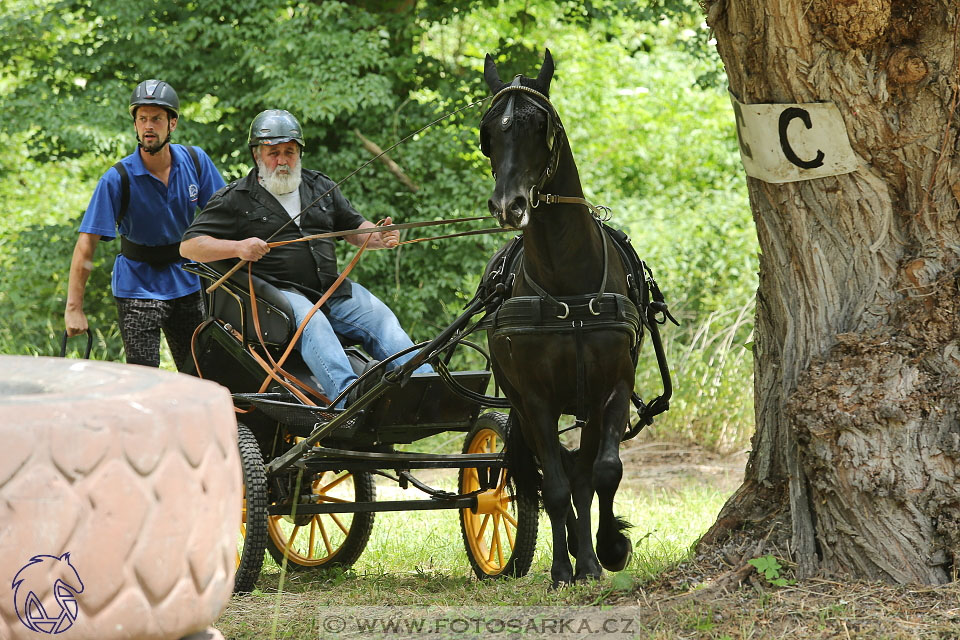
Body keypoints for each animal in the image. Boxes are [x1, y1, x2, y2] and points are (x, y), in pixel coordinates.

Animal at [480, 52, 644, 588]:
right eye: (489, 130)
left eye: (540, 126)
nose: (508, 205)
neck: (567, 281)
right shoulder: (535, 399)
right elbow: (551, 485)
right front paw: (560, 570)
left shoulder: (611, 386)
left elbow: (603, 472)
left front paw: (606, 551)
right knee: (549, 475)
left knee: (582, 474)